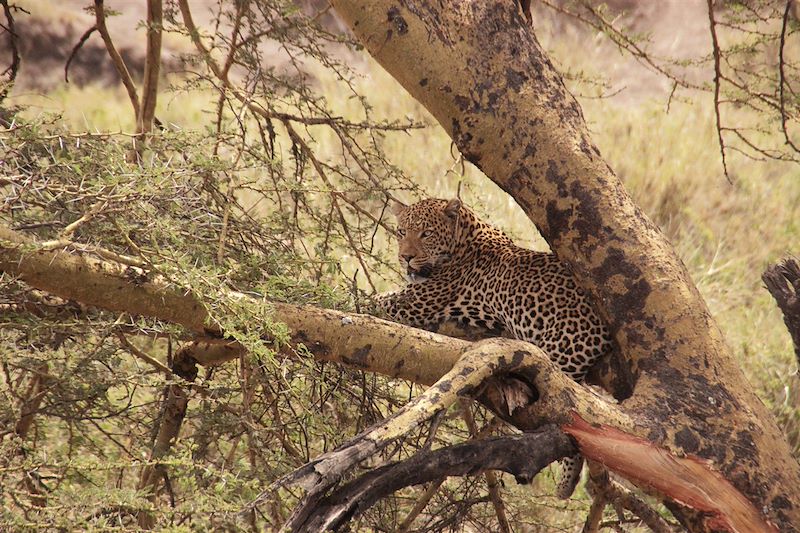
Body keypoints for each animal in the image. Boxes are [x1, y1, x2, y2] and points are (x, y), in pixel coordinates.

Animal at [378, 196, 616, 498]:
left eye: (426, 234)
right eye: (401, 232)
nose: (405, 257)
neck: (465, 239)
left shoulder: (412, 303)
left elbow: (372, 299)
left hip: (562, 349)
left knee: (567, 412)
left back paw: (566, 479)